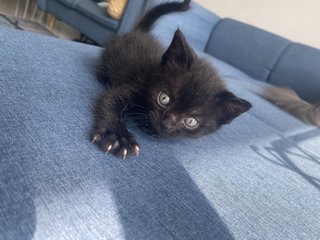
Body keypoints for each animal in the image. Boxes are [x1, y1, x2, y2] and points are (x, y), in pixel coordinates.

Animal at [91, 0, 251, 159]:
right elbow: (112, 100)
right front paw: (118, 137)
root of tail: (141, 31)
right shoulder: (134, 84)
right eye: (164, 98)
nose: (166, 123)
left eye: (191, 121)